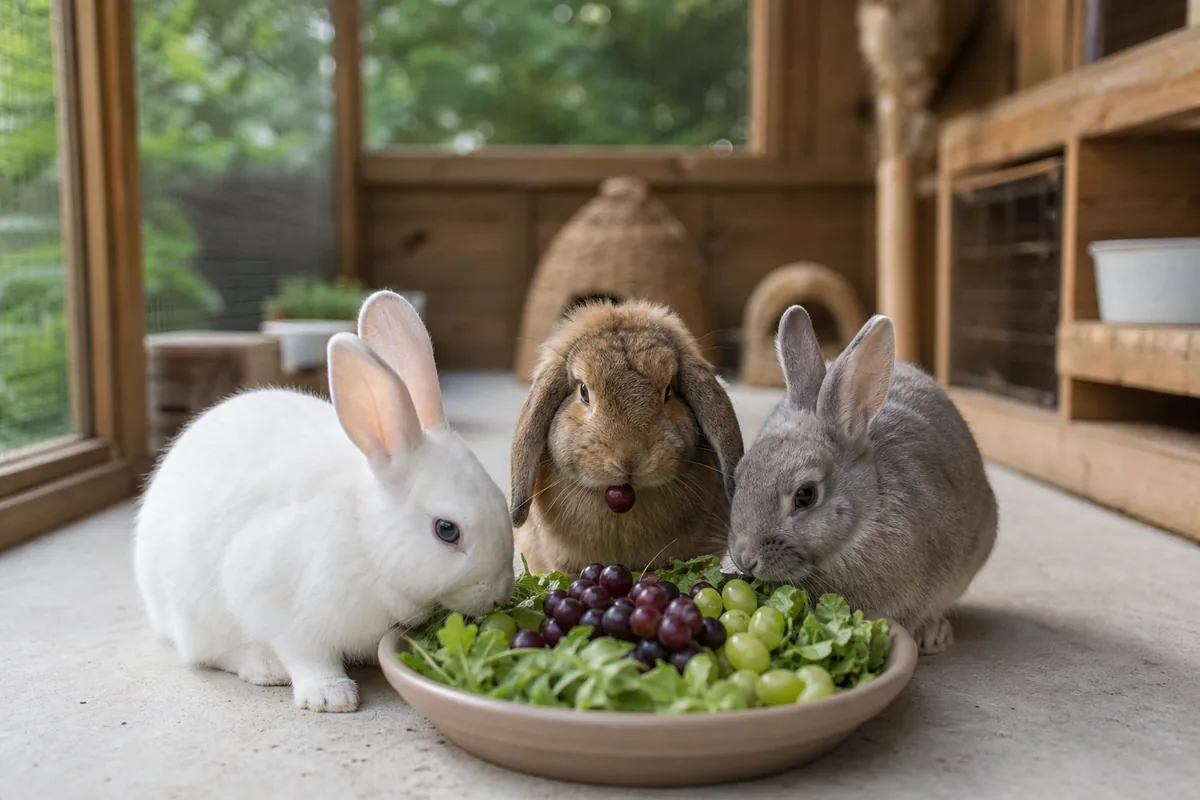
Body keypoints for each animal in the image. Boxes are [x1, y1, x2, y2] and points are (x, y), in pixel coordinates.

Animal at [133, 291, 516, 712]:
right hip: (196, 613)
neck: (365, 536)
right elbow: (307, 656)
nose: (500, 595)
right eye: (447, 530)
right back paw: (264, 668)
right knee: (208, 653)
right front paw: (331, 696)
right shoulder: (280, 606)